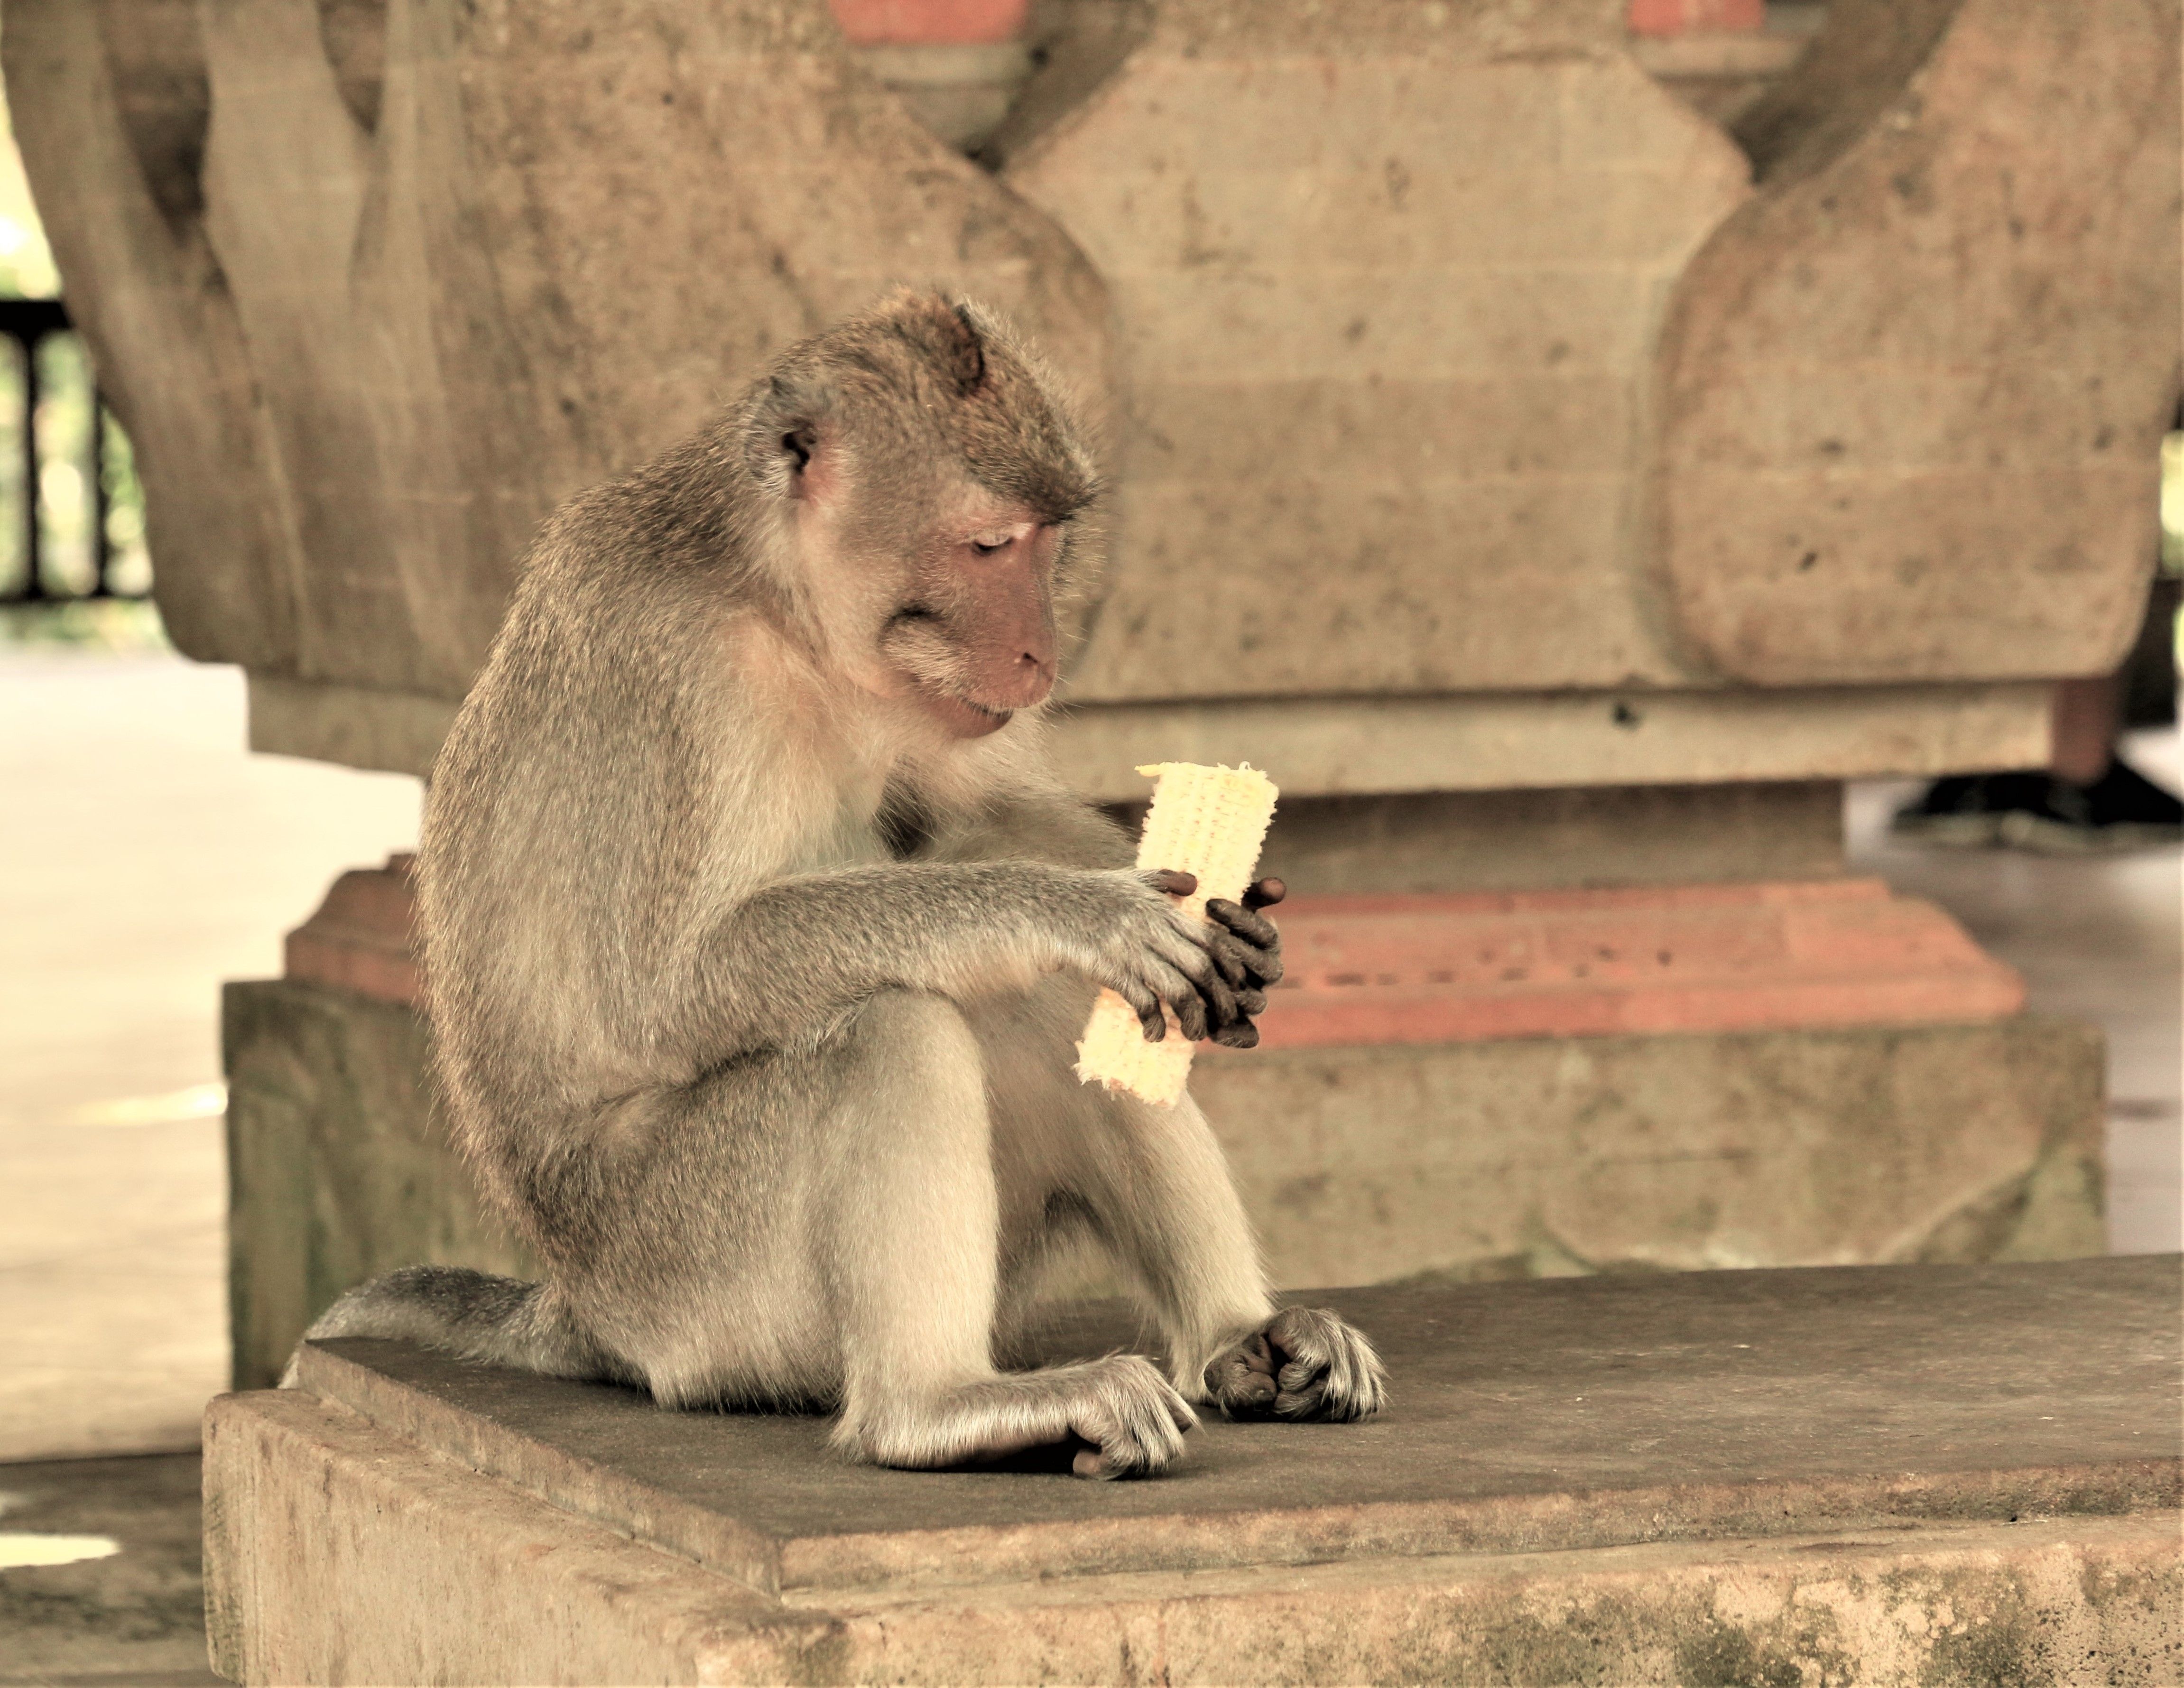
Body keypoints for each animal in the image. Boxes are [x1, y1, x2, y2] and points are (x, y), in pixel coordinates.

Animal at [301, 290, 1380, 1476]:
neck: (785, 611)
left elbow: (975, 815)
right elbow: (668, 988)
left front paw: (1212, 916)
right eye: (990, 544)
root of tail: (580, 1309)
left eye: (1051, 542)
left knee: (1036, 1004)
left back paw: (1241, 1340)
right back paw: (937, 1407)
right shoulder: (678, 679)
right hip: (696, 1274)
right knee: (887, 1030)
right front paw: (1081, 909)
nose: (1041, 654)